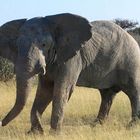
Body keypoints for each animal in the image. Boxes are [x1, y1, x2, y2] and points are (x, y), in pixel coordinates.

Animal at [0, 13, 140, 135]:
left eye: (44, 44)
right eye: (17, 46)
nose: (1, 123)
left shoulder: (72, 58)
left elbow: (61, 89)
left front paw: (54, 134)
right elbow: (45, 90)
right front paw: (35, 133)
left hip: (131, 60)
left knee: (133, 90)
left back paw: (131, 126)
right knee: (107, 95)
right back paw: (95, 126)